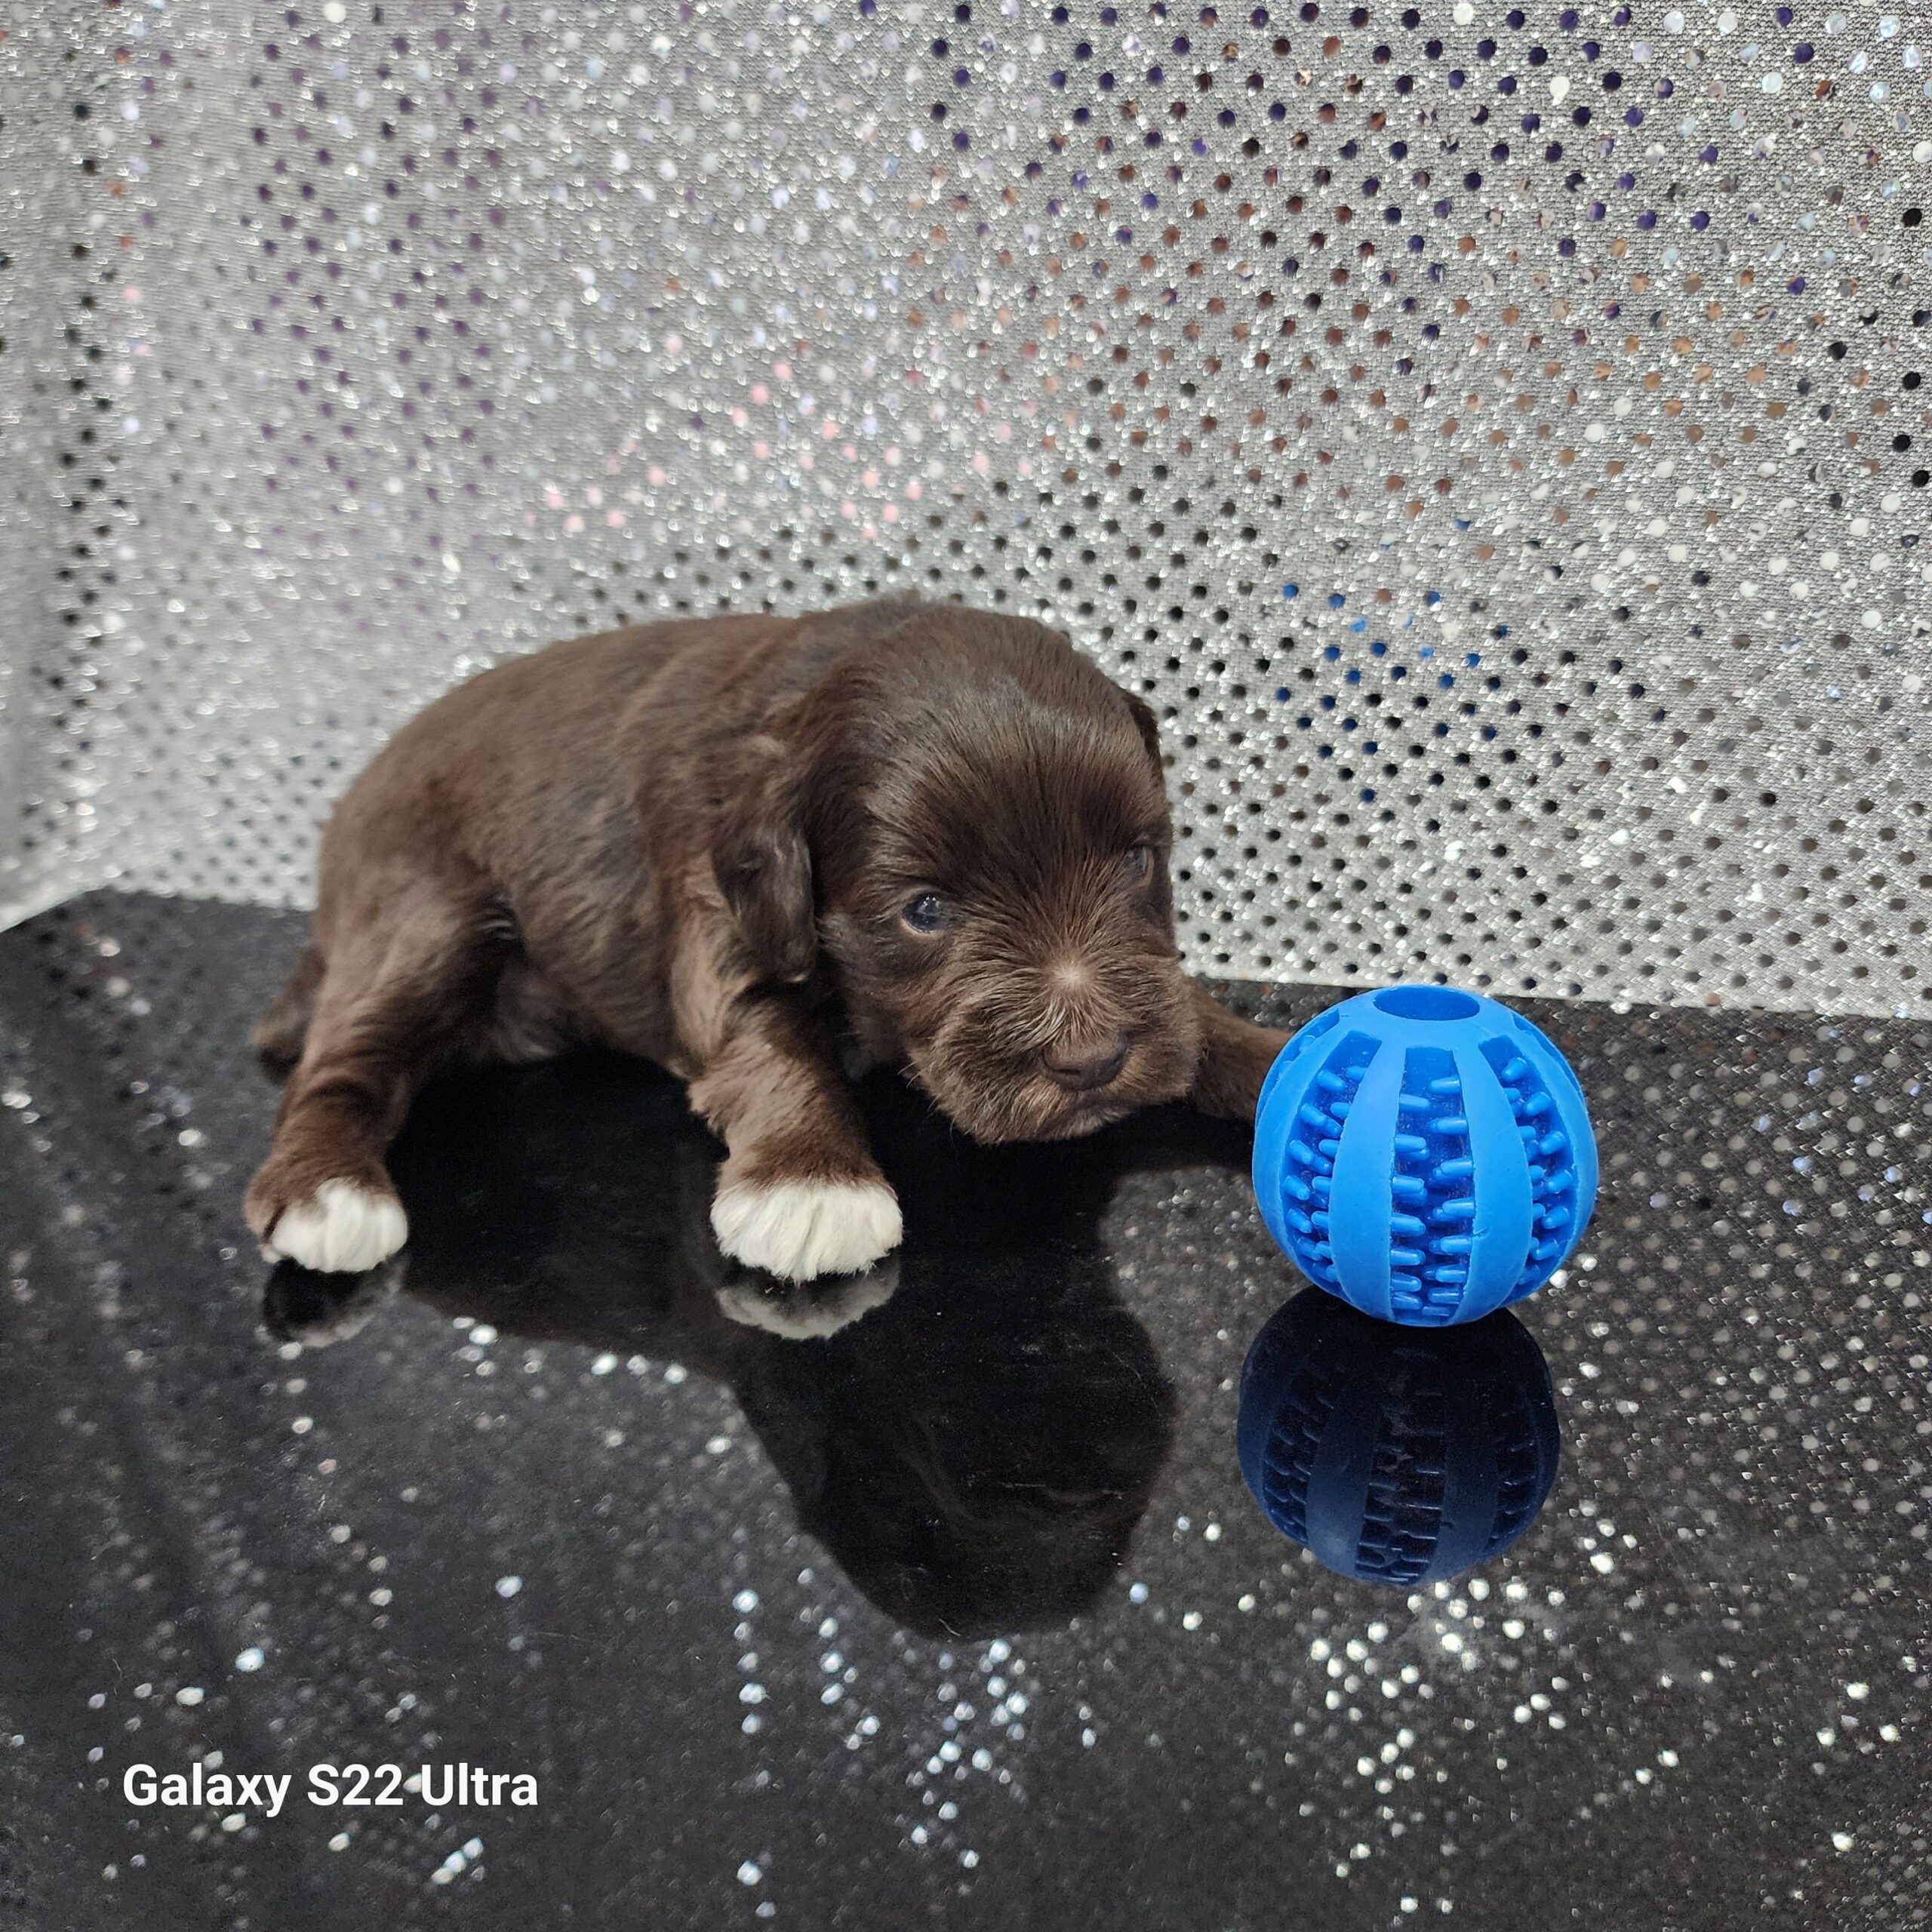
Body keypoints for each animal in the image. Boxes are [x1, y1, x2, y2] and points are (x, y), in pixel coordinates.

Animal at [244, 599, 1290, 1281]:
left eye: (1137, 860)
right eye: (924, 911)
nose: (1093, 1060)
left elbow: (1183, 1004)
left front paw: (1276, 1057)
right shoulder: (717, 903)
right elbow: (770, 1034)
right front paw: (810, 1181)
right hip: (421, 908)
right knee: (342, 1060)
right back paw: (328, 1191)